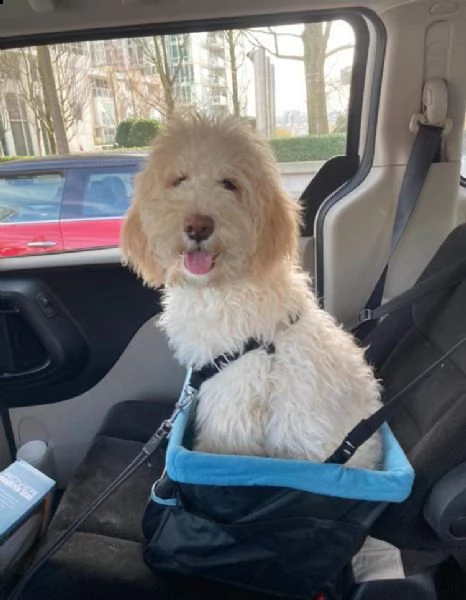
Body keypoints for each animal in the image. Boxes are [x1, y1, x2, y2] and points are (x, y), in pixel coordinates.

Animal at [120, 112, 382, 468]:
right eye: (179, 179)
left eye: (230, 183)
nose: (198, 226)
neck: (221, 286)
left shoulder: (235, 385)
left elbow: (220, 440)